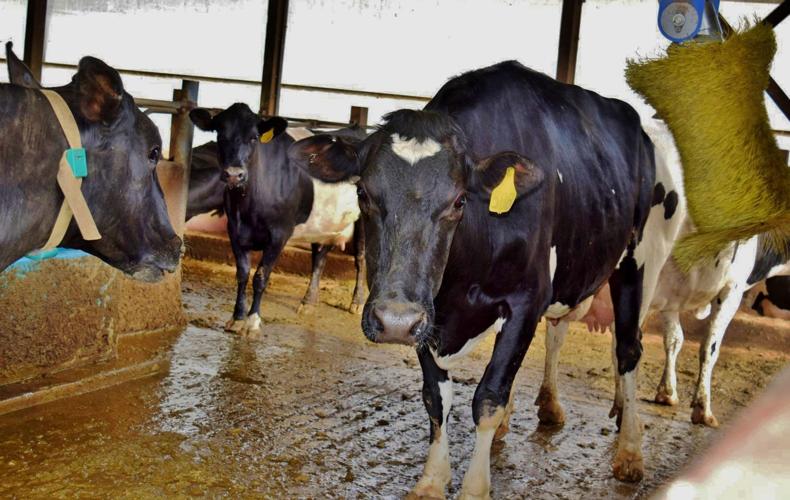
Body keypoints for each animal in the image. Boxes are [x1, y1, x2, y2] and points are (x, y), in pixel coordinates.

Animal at [188, 103, 367, 336]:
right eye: (220, 135)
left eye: (254, 137)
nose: (234, 175)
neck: (248, 206)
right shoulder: (234, 230)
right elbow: (242, 274)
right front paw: (237, 318)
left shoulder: (279, 234)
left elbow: (260, 276)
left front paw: (252, 321)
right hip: (324, 223)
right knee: (320, 257)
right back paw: (308, 302)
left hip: (365, 220)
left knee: (361, 259)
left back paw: (357, 302)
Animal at [289, 61, 684, 497]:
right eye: (363, 194)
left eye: (459, 200)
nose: (393, 321)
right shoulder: (428, 311)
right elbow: (436, 397)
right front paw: (432, 480)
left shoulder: (525, 299)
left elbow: (489, 397)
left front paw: (474, 486)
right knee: (558, 334)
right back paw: (546, 408)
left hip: (642, 261)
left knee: (628, 349)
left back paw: (629, 451)